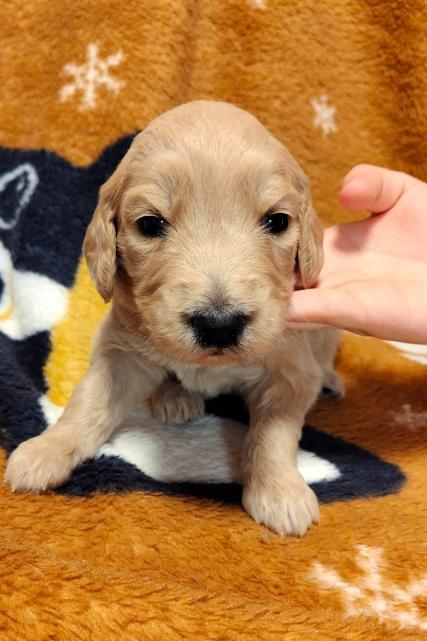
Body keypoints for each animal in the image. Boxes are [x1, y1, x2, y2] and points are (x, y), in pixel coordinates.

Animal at [5, 100, 342, 536]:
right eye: (150, 224)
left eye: (278, 221)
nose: (219, 325)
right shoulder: (120, 352)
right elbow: (87, 402)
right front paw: (47, 449)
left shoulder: (290, 371)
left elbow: (275, 433)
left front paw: (280, 493)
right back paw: (175, 396)